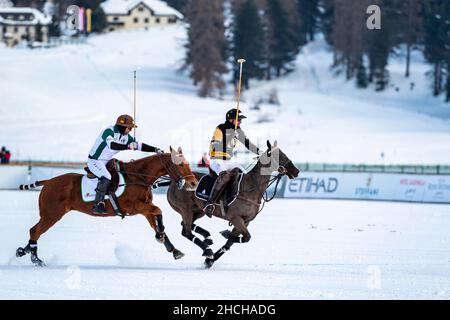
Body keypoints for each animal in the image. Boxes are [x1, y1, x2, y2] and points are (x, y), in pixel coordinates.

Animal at [15, 147, 197, 264]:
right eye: (180, 164)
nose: (193, 183)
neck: (139, 177)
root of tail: (48, 182)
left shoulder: (145, 208)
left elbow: (156, 219)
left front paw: (172, 248)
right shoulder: (135, 207)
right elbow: (158, 211)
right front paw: (161, 237)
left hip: (52, 214)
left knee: (35, 232)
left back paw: (24, 251)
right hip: (52, 214)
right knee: (35, 231)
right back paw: (36, 259)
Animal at [167, 141, 300, 268]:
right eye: (279, 155)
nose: (296, 171)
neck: (251, 188)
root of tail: (175, 181)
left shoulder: (245, 221)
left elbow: (231, 242)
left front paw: (210, 260)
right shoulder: (235, 218)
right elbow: (246, 237)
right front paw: (223, 237)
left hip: (198, 210)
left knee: (185, 226)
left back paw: (207, 238)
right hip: (186, 209)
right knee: (186, 231)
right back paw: (207, 249)